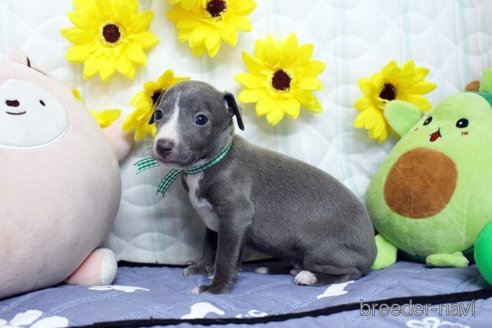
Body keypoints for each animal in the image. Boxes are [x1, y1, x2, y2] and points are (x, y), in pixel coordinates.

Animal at [150, 80, 376, 294]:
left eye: (201, 119)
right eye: (158, 113)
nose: (163, 145)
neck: (208, 164)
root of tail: (372, 252)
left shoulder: (235, 216)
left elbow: (224, 255)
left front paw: (216, 287)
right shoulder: (214, 220)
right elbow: (210, 246)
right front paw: (202, 267)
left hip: (322, 251)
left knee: (352, 272)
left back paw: (309, 276)